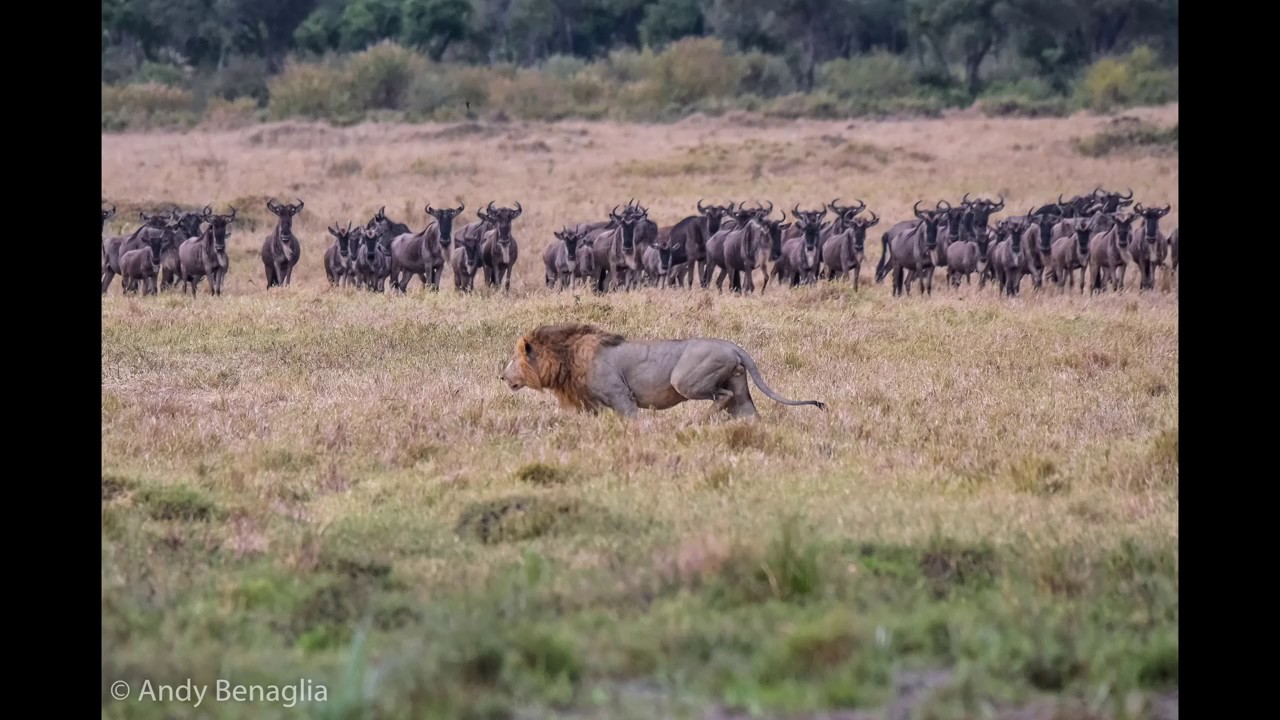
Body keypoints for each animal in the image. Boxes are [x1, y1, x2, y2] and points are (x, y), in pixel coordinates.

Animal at [494, 319, 824, 415]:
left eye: (515, 360)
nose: (501, 376)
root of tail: (733, 346)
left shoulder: (622, 398)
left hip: (685, 379)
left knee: (722, 397)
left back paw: (699, 422)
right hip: (740, 388)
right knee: (748, 412)